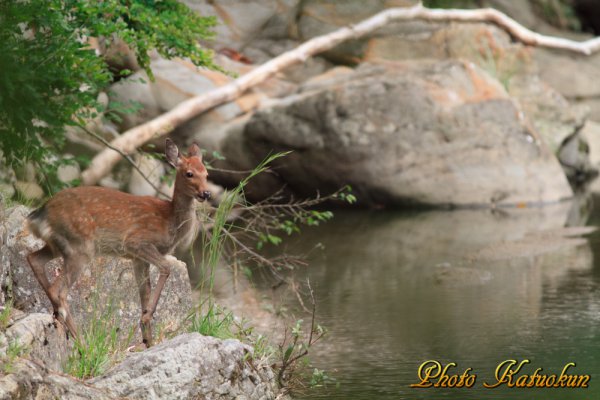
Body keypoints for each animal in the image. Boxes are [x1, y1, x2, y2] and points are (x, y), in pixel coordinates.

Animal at [25, 138, 211, 346]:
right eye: (189, 173)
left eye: (207, 173)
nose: (206, 193)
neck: (169, 221)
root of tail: (40, 215)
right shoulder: (137, 242)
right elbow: (166, 267)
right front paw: (147, 318)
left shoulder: (138, 259)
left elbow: (144, 292)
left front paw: (148, 339)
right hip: (80, 247)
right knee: (58, 290)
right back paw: (81, 343)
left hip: (57, 246)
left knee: (34, 259)